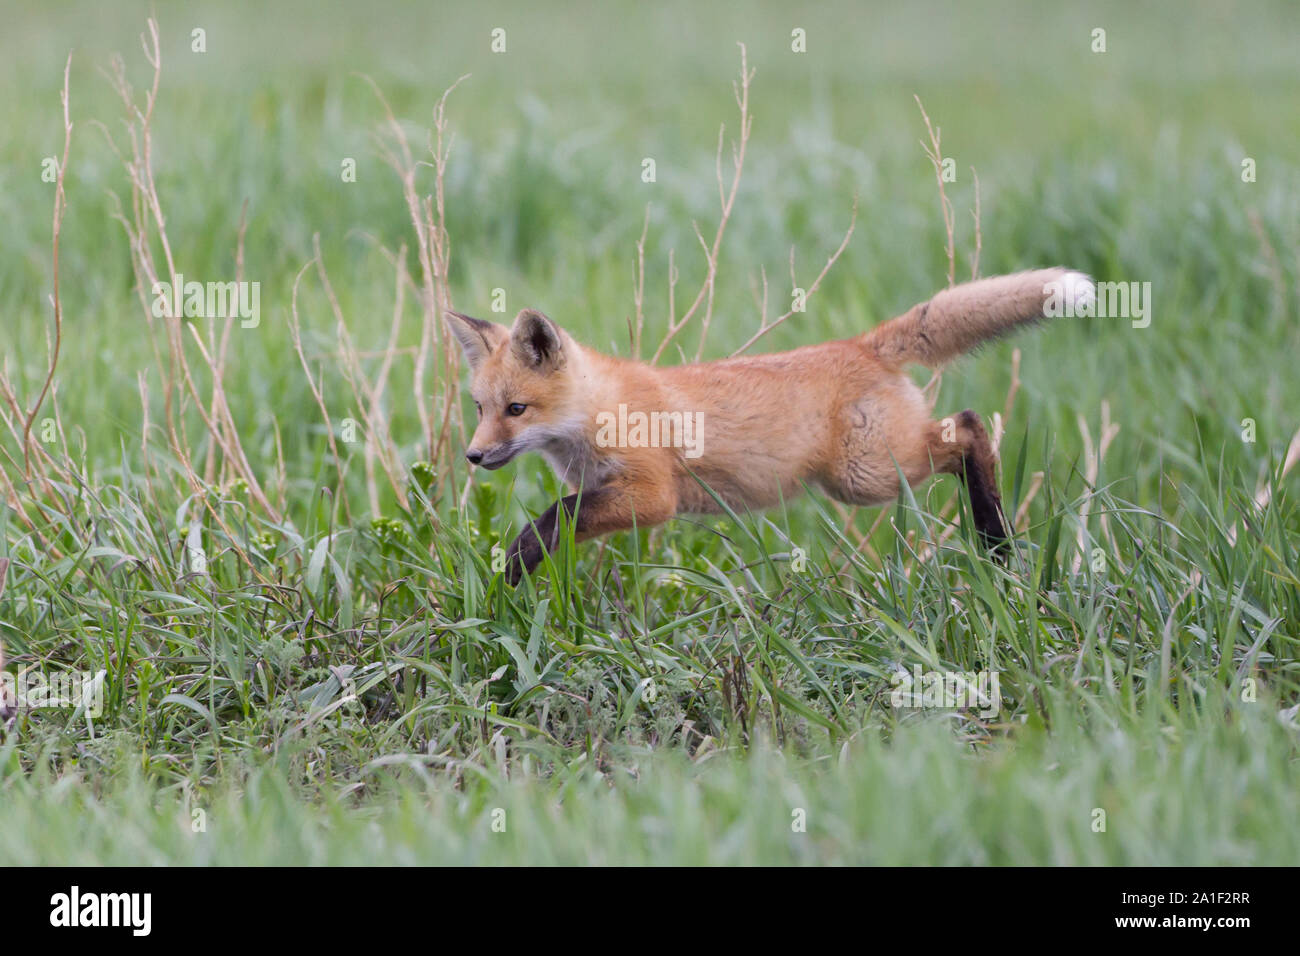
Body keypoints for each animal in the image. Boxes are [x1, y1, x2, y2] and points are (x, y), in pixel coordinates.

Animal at [447, 268, 1094, 583]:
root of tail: (859, 344)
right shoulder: (607, 489)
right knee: (966, 428)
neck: (601, 410)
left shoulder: (652, 494)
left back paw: (995, 537)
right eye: (479, 408)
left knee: (969, 428)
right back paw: (996, 541)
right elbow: (562, 517)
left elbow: (555, 516)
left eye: (516, 410)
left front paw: (515, 565)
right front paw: (514, 574)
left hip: (865, 477)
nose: (473, 457)